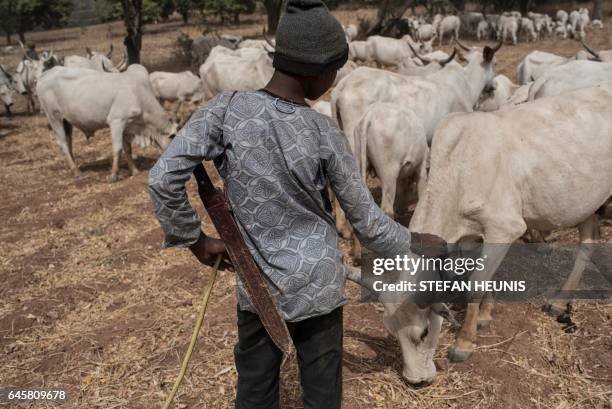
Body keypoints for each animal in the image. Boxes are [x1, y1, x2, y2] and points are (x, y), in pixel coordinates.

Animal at [36, 64, 175, 181]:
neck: (139, 95)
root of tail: (45, 74)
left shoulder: (127, 126)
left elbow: (127, 148)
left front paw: (135, 171)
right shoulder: (116, 121)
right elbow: (117, 148)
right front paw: (113, 175)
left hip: (66, 121)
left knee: (68, 141)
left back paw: (74, 166)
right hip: (54, 117)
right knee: (63, 143)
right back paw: (76, 172)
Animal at [408, 86, 612, 364]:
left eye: (420, 331)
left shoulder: (505, 226)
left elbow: (476, 282)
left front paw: (465, 341)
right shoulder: (476, 234)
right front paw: (484, 316)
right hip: (587, 201)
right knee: (588, 243)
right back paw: (560, 302)